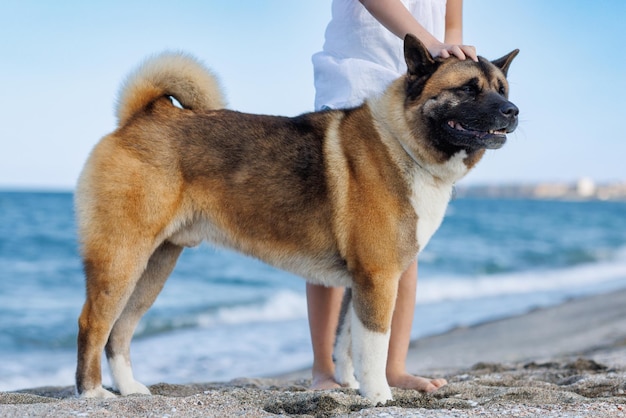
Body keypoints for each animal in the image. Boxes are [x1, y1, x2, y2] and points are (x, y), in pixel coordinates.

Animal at [74, 36, 516, 404]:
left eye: (501, 89)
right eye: (467, 89)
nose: (512, 111)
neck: (401, 142)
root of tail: (144, 116)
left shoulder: (361, 281)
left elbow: (347, 342)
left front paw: (350, 387)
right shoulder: (378, 277)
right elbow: (374, 344)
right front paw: (379, 396)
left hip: (155, 265)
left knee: (120, 330)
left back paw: (129, 389)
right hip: (122, 259)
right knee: (93, 323)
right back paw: (92, 393)